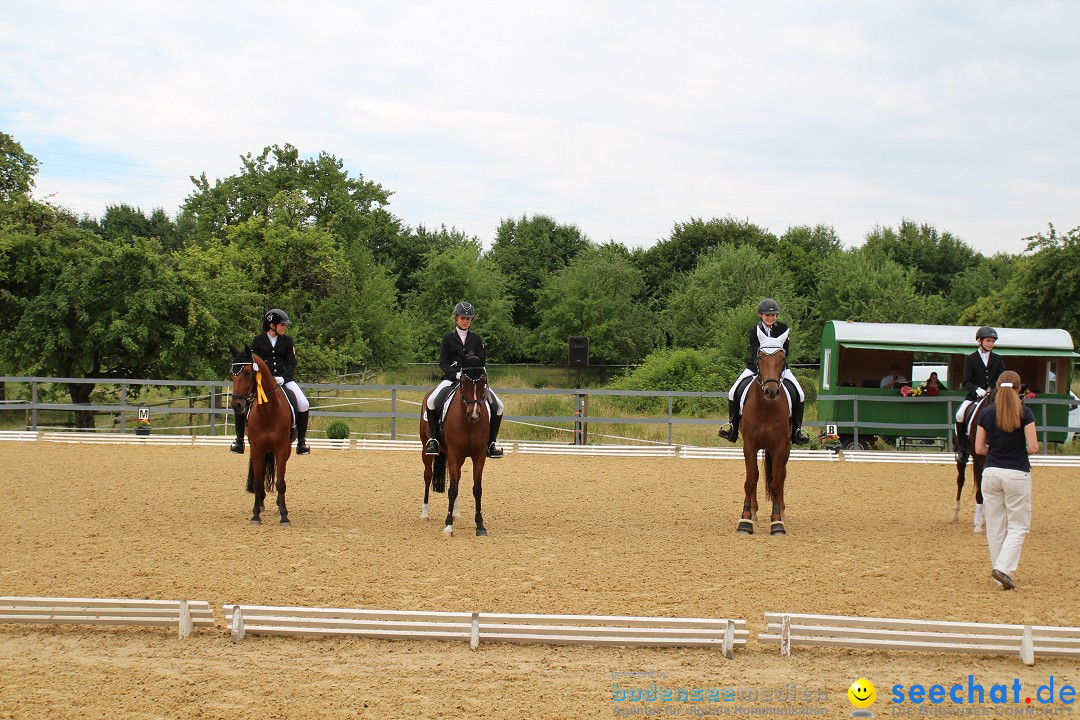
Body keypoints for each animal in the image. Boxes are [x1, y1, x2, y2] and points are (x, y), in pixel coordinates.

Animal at [231, 347, 293, 524]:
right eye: (231, 373)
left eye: (247, 373)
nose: (237, 405)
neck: (268, 411)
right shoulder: (257, 449)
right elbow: (258, 483)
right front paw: (255, 514)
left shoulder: (281, 449)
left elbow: (280, 483)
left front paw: (284, 516)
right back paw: (261, 502)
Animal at [419, 358, 492, 537]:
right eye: (464, 381)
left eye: (483, 382)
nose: (474, 414)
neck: (468, 423)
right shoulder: (453, 453)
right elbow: (452, 489)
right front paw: (448, 525)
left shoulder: (478, 455)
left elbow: (477, 489)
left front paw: (480, 525)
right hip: (426, 448)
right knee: (427, 476)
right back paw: (425, 514)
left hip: (461, 458)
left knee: (457, 478)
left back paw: (456, 514)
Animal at [734, 330, 794, 537]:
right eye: (760, 357)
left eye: (782, 358)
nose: (771, 391)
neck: (767, 408)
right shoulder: (749, 446)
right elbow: (750, 480)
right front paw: (745, 520)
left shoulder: (780, 447)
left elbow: (776, 483)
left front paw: (776, 522)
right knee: (757, 475)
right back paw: (753, 512)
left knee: (781, 476)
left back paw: (782, 512)